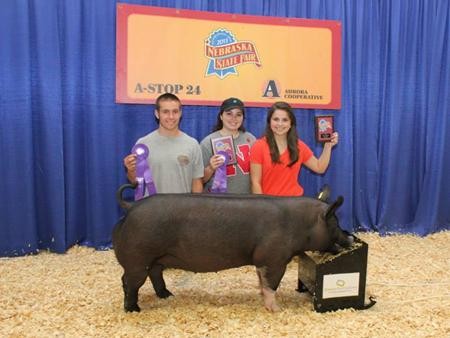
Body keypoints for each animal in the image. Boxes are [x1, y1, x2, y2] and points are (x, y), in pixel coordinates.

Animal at [112, 185, 352, 312]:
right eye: (335, 222)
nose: (350, 238)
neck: (300, 224)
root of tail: (130, 206)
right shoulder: (274, 257)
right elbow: (271, 284)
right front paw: (276, 310)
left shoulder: (261, 260)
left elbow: (261, 280)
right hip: (137, 259)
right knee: (128, 282)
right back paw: (133, 309)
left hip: (155, 259)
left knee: (155, 274)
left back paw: (167, 295)